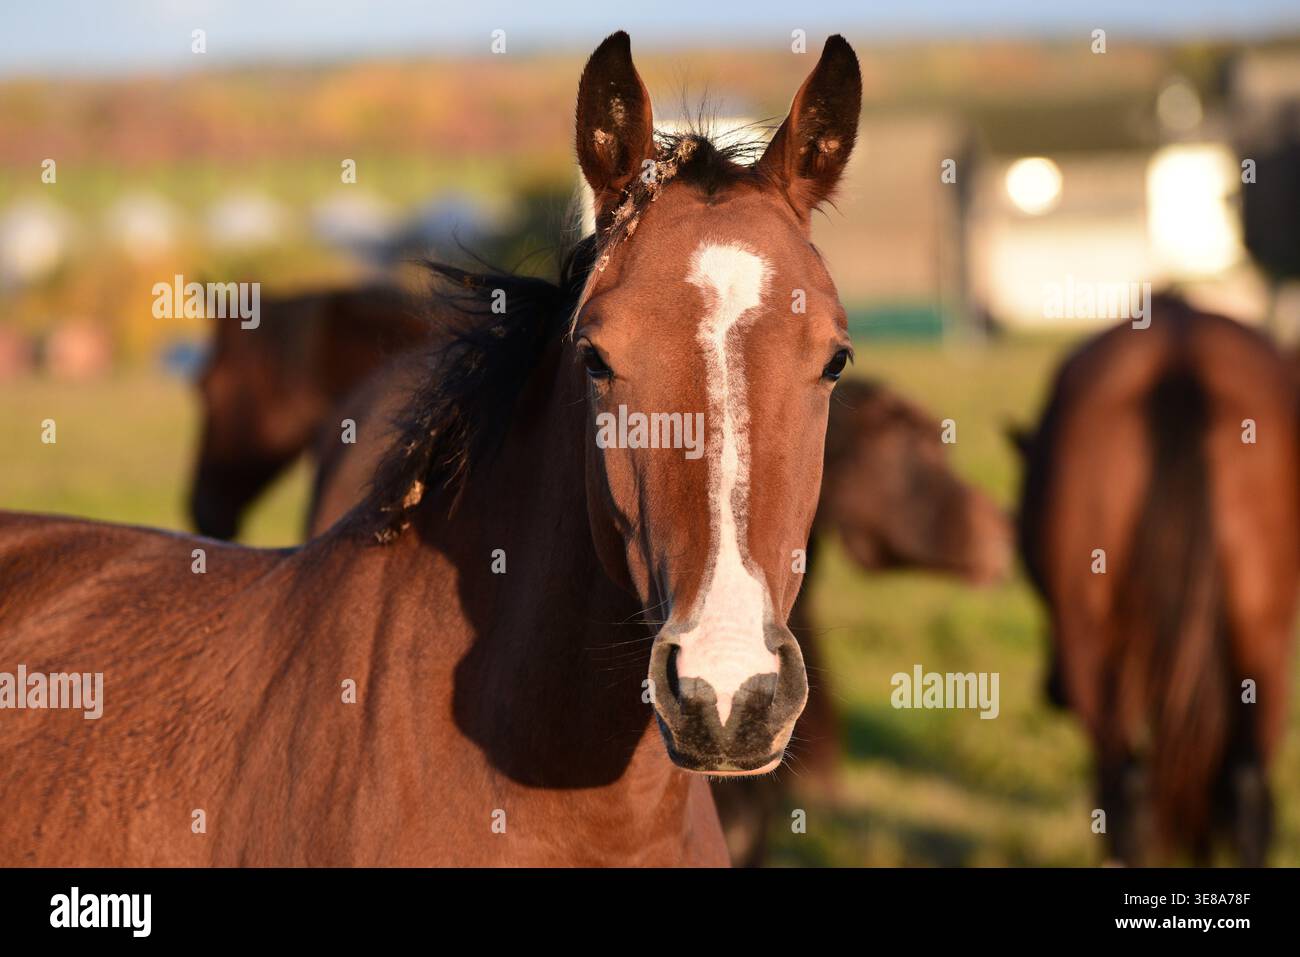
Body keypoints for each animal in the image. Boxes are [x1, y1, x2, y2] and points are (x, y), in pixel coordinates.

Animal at [1014, 294, 1300, 865]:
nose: (1051, 690)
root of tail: (1178, 364)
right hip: (1265, 640)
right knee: (1245, 789)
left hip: (1093, 648)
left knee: (1125, 792)